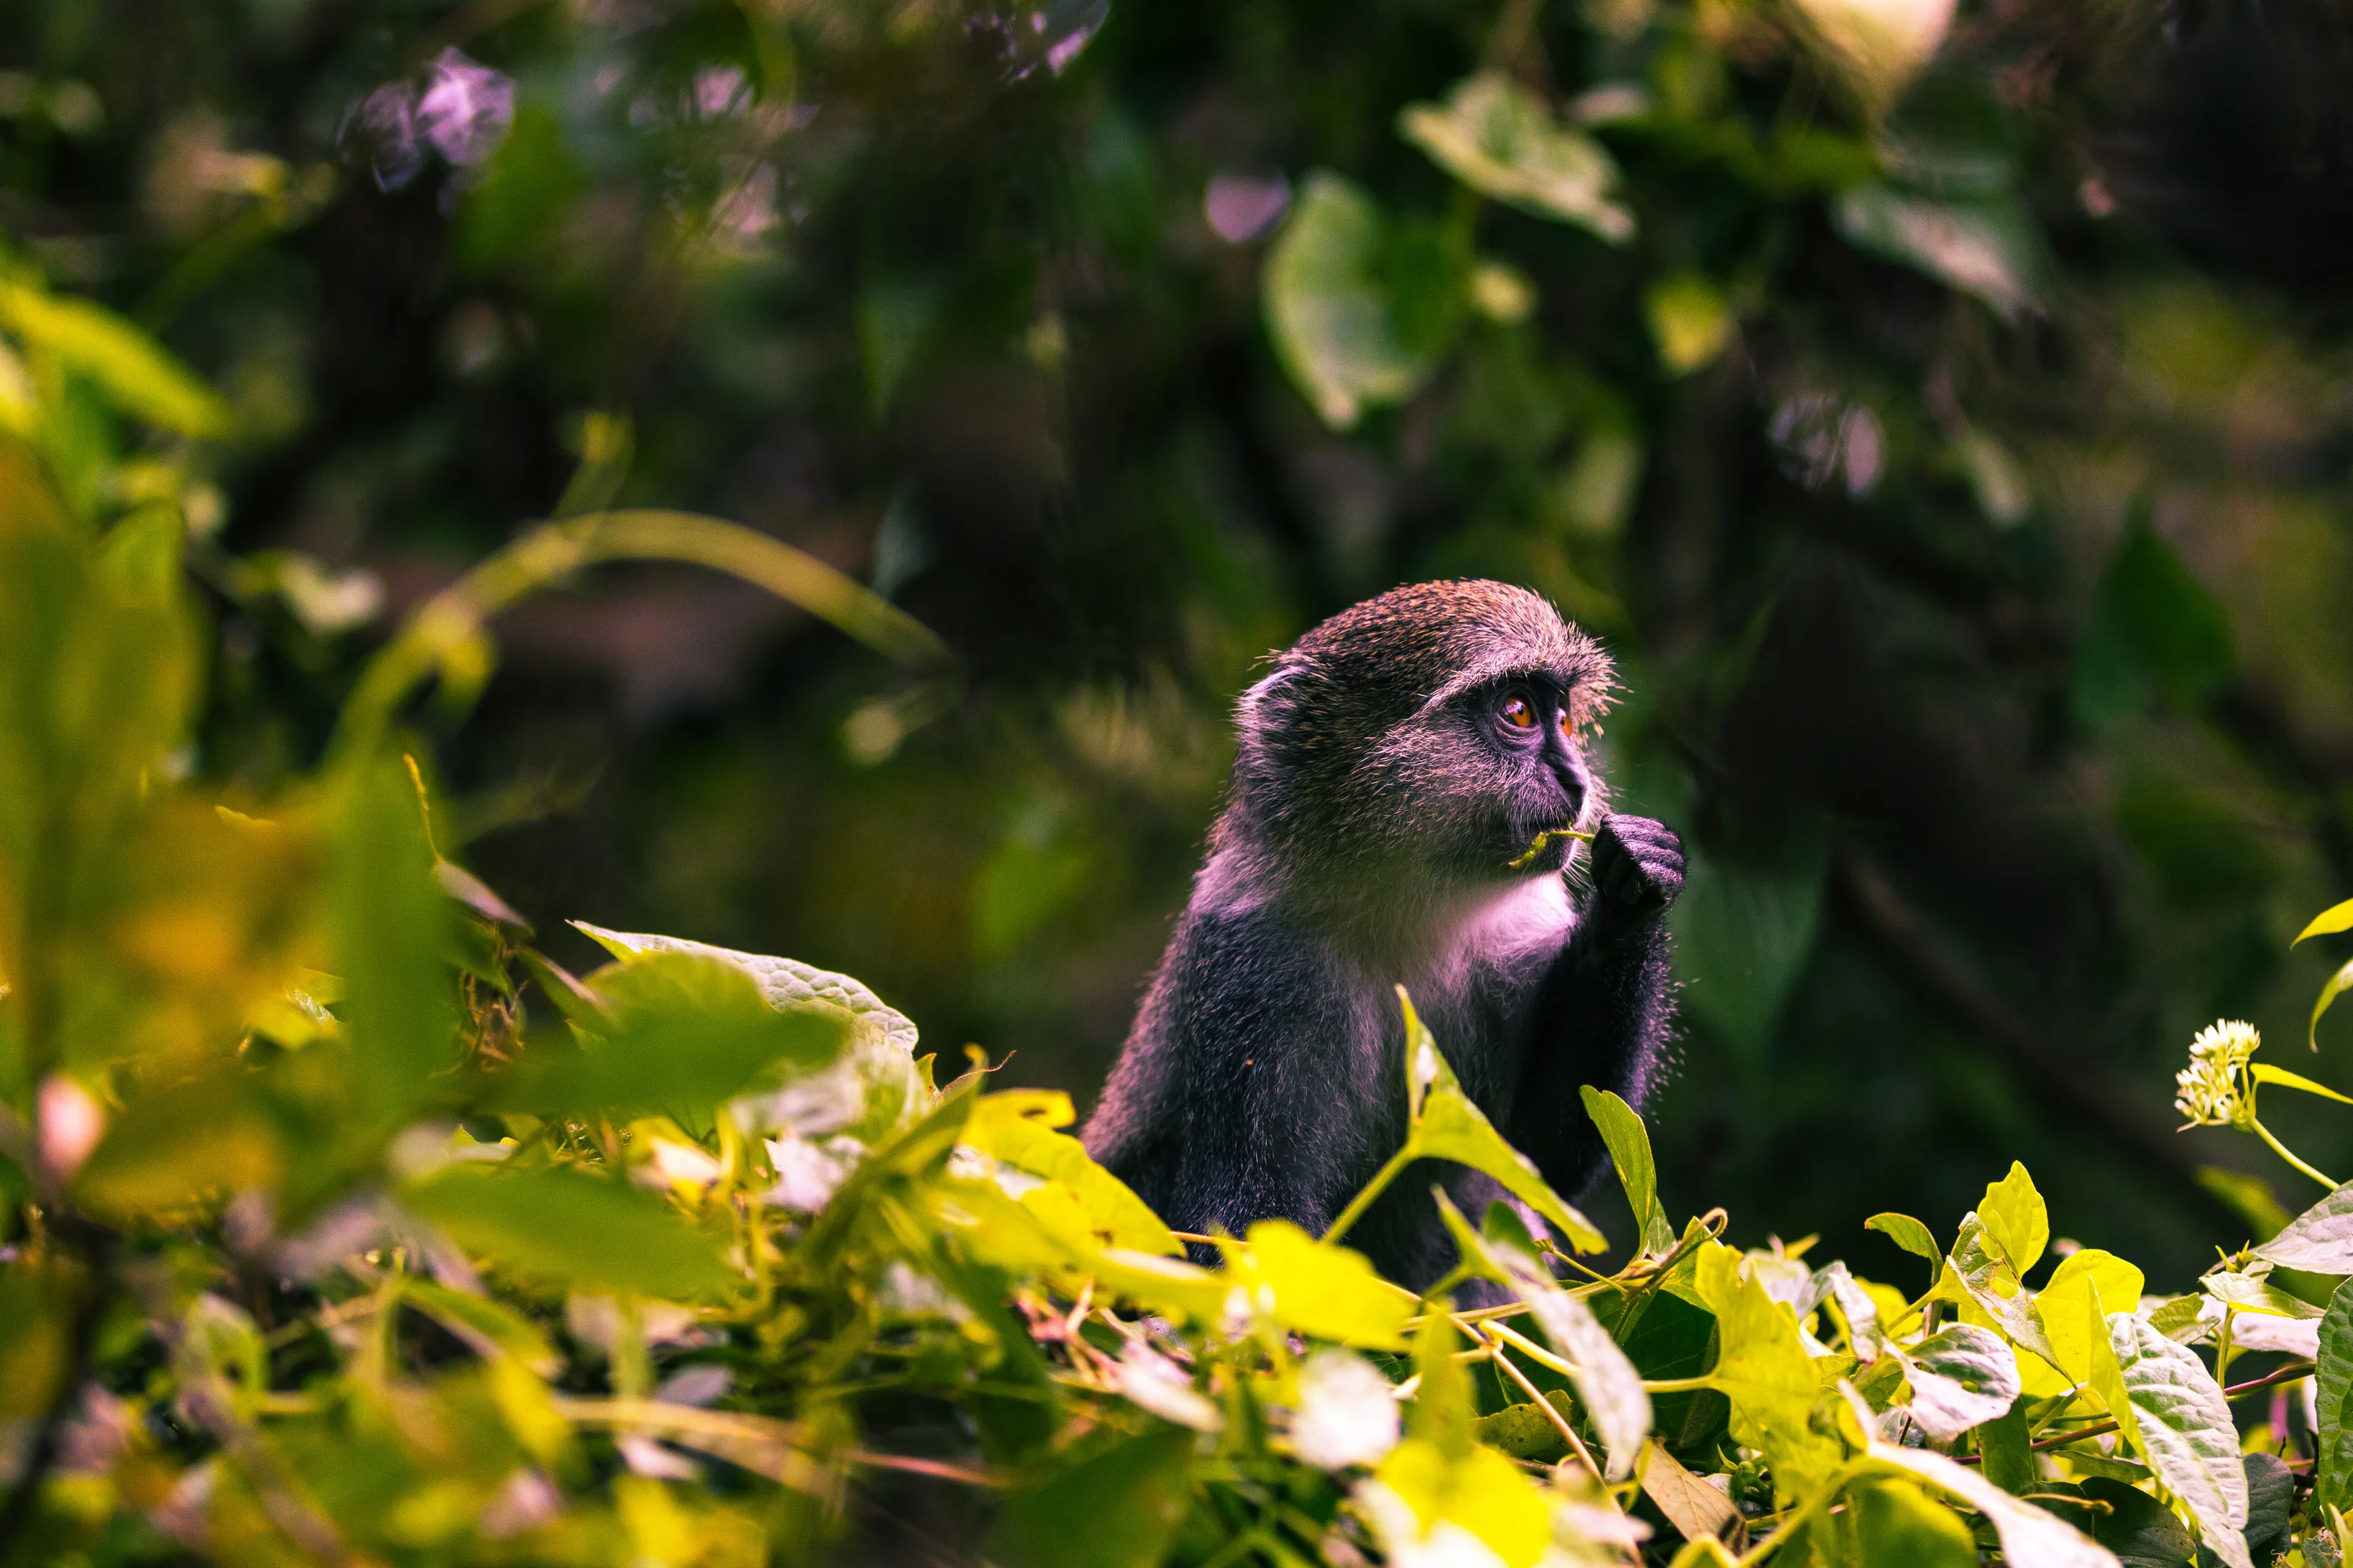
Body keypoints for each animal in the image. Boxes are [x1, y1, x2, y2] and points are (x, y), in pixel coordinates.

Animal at [1081, 580, 1684, 1290]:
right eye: (1518, 712)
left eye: (1562, 719)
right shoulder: (1252, 964)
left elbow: (1542, 1150)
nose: (1577, 780)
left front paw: (1635, 882)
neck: (1406, 915)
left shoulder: (1517, 938)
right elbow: (1250, 1208)